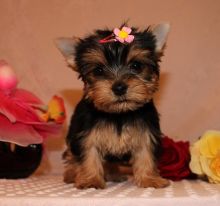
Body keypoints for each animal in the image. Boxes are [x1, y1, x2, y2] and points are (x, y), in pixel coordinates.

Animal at [56, 23, 170, 189]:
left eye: (136, 65)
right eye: (98, 70)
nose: (119, 87)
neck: (119, 113)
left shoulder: (146, 132)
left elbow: (146, 154)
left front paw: (149, 179)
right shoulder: (86, 135)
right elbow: (89, 155)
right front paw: (90, 180)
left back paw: (113, 174)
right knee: (72, 155)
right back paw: (71, 174)